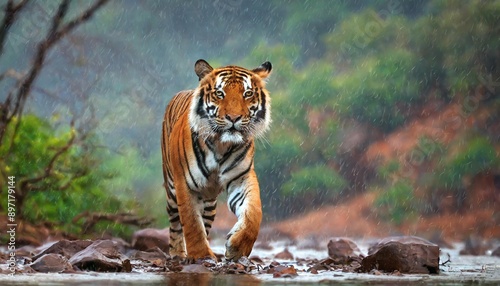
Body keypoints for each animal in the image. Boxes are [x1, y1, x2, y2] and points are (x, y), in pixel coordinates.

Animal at [161, 59, 272, 260]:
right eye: (220, 93)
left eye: (247, 94)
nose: (234, 118)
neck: (222, 144)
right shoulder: (185, 184)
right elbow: (191, 223)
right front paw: (201, 255)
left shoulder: (241, 178)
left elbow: (253, 213)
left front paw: (237, 247)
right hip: (172, 189)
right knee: (175, 224)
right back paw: (178, 254)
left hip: (210, 202)